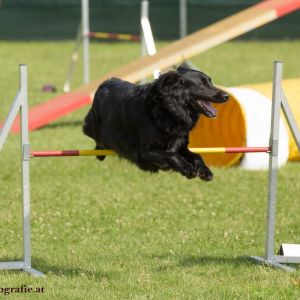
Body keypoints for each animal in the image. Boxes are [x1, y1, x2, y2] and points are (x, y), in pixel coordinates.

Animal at [83, 63, 229, 180]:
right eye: (203, 84)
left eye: (210, 81)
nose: (226, 96)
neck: (168, 111)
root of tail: (106, 82)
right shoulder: (146, 152)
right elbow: (171, 155)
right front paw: (188, 169)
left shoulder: (181, 145)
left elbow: (197, 155)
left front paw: (205, 171)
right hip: (93, 127)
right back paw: (100, 152)